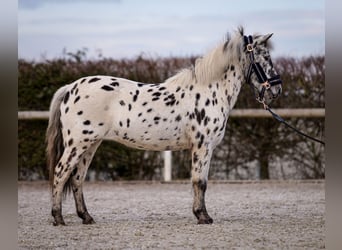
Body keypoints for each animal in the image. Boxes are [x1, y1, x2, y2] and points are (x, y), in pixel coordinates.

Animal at [46, 26, 280, 226]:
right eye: (266, 57)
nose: (277, 89)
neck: (209, 91)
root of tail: (70, 88)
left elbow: (200, 181)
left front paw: (201, 215)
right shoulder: (203, 146)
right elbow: (200, 181)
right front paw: (203, 217)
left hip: (91, 144)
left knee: (77, 178)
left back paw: (86, 217)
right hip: (77, 144)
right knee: (60, 173)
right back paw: (58, 218)